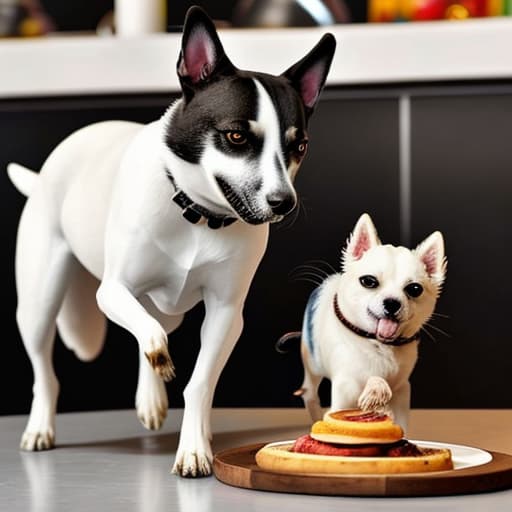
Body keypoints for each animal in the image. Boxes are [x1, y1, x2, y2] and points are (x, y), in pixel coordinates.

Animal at [9, 6, 336, 476]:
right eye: (236, 136)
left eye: (300, 146)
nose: (283, 203)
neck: (196, 213)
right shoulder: (113, 291)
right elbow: (145, 332)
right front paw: (160, 362)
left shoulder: (225, 314)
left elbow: (199, 383)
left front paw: (195, 445)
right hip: (39, 303)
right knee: (48, 371)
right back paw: (40, 427)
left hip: (172, 313)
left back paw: (153, 399)